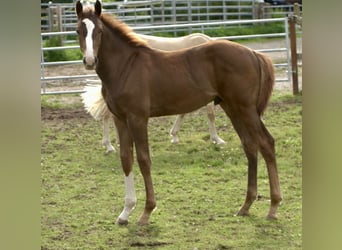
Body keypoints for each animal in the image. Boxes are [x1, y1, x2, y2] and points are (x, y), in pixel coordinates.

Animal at [80, 32, 224, 153]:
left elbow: (183, 112)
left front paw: (174, 135)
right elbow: (210, 115)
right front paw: (217, 139)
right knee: (106, 115)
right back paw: (109, 146)